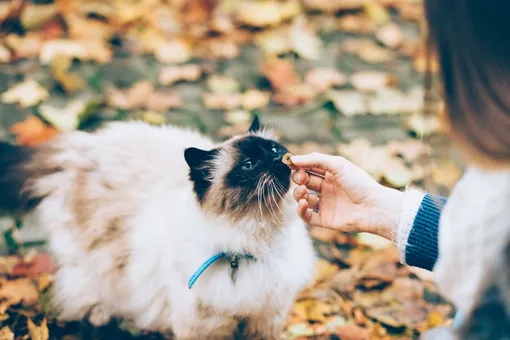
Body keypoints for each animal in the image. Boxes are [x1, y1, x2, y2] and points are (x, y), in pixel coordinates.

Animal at [0, 116, 316, 338]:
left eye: (274, 149)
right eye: (249, 165)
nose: (277, 159)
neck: (254, 244)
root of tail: (82, 147)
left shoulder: (265, 318)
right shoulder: (206, 327)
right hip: (98, 266)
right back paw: (103, 317)